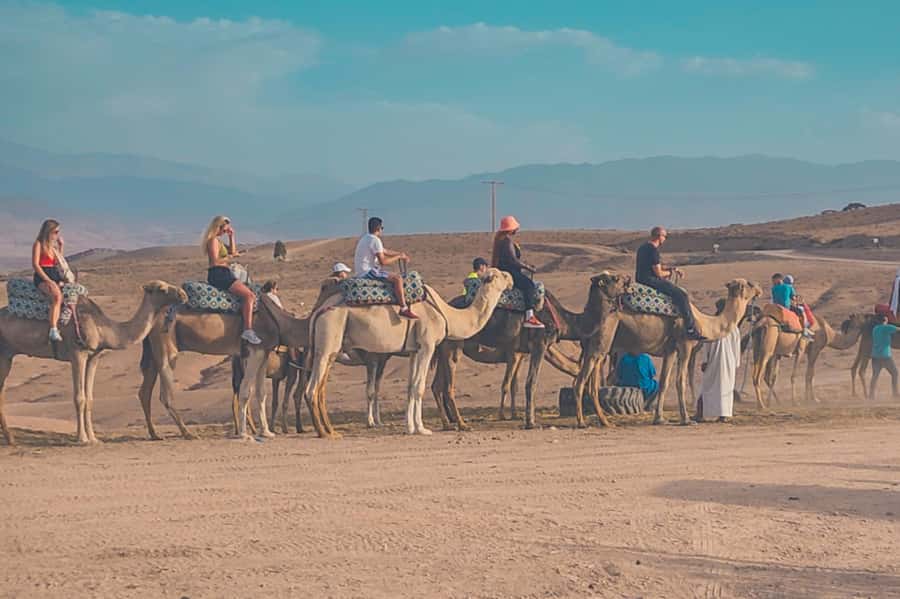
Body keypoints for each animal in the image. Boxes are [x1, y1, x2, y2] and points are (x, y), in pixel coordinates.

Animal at [0, 281, 186, 445]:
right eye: (161, 289)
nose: (183, 294)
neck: (102, 328)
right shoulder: (77, 353)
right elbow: (79, 397)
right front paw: (82, 439)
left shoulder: (93, 357)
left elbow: (89, 398)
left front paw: (94, 438)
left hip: (7, 355)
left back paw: (11, 439)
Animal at [302, 268, 513, 437]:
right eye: (499, 274)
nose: (511, 278)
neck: (447, 314)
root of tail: (319, 310)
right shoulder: (427, 345)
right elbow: (419, 387)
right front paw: (422, 429)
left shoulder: (414, 349)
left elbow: (410, 386)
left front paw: (410, 427)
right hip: (328, 336)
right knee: (311, 389)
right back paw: (323, 433)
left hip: (332, 347)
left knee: (321, 389)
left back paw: (331, 430)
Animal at [571, 273, 761, 427]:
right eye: (750, 284)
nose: (759, 289)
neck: (705, 323)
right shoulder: (685, 344)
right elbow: (680, 381)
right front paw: (686, 419)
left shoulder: (670, 349)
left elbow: (664, 382)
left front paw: (659, 419)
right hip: (603, 340)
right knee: (583, 381)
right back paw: (582, 422)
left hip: (596, 345)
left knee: (592, 382)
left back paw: (604, 421)